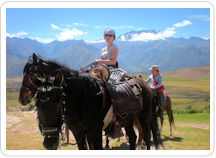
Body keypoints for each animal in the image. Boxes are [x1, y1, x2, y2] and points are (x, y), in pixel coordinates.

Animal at [19, 53, 159, 150]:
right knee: (133, 137)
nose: (22, 98)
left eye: (58, 102)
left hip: (144, 118)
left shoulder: (95, 130)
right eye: (37, 104)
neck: (81, 98)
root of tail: (148, 87)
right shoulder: (78, 132)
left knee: (147, 137)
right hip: (127, 120)